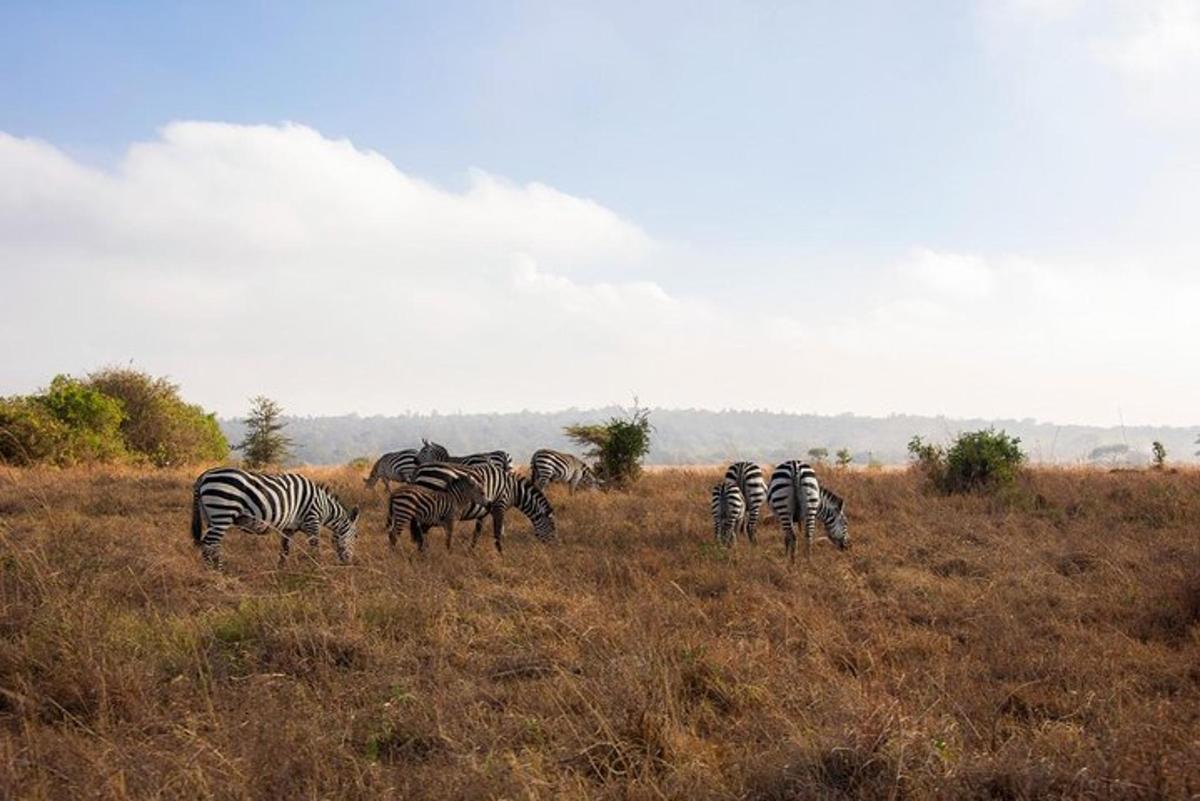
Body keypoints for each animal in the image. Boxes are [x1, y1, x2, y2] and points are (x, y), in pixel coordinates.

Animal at [189, 465, 360, 573]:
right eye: (356, 537)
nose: (349, 564)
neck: (324, 506)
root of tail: (204, 475)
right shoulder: (312, 521)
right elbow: (315, 547)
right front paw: (318, 569)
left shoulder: (289, 528)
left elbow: (285, 549)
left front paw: (281, 570)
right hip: (222, 513)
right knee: (210, 544)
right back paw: (218, 573)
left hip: (211, 517)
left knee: (211, 545)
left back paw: (212, 571)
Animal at [410, 462, 554, 551]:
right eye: (552, 527)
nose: (554, 547)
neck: (513, 490)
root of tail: (419, 469)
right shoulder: (499, 506)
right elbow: (497, 533)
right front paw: (501, 554)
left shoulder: (484, 511)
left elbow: (477, 532)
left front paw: (471, 551)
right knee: (421, 532)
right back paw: (424, 553)